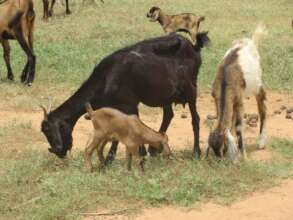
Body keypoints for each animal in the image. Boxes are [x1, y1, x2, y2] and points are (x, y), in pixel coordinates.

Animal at [40, 32, 210, 162]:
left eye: (48, 130)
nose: (58, 151)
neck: (107, 77)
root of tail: (193, 46)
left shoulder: (130, 103)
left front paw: (135, 154)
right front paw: (110, 158)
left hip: (191, 88)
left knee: (195, 119)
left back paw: (196, 152)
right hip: (165, 94)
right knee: (168, 114)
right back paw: (154, 149)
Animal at [205, 23, 266, 162]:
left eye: (222, 146)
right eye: (213, 147)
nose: (219, 160)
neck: (225, 80)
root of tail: (250, 41)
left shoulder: (239, 100)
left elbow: (238, 126)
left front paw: (243, 155)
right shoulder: (218, 98)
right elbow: (231, 123)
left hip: (257, 84)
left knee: (262, 108)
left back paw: (261, 142)